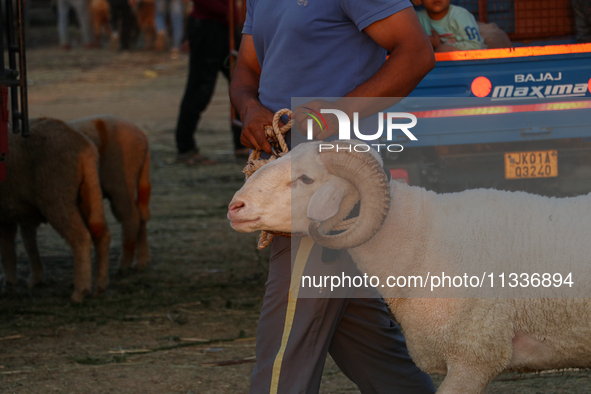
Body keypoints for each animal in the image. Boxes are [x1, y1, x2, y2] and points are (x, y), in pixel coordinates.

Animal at [0, 117, 110, 302]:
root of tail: (85, 148)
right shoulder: (8, 212)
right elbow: (8, 249)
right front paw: (9, 285)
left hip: (57, 196)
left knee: (81, 237)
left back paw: (80, 292)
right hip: (87, 194)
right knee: (101, 234)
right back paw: (99, 289)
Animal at [68, 115, 151, 272]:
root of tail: (143, 136)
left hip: (121, 182)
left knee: (132, 217)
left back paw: (124, 265)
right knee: (141, 216)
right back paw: (142, 262)